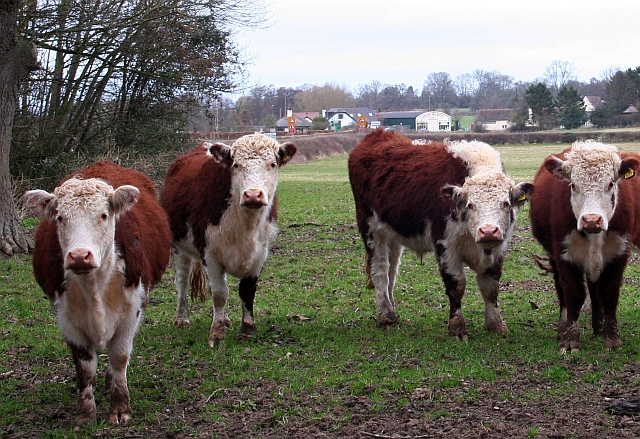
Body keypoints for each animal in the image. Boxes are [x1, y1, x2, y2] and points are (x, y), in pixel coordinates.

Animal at [24, 162, 171, 426]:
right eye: (60, 217)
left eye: (103, 215)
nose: (80, 256)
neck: (93, 287)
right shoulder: (66, 317)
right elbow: (85, 367)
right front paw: (85, 413)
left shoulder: (132, 309)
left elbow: (119, 357)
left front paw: (120, 407)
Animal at [162, 133, 298, 348]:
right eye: (236, 165)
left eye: (272, 164)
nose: (253, 195)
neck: (246, 225)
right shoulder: (209, 253)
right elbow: (219, 294)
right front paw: (217, 333)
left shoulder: (260, 252)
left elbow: (247, 290)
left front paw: (248, 328)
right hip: (178, 247)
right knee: (182, 280)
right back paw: (182, 318)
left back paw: (224, 318)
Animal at [348, 128, 532, 340]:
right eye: (470, 205)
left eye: (506, 203)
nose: (488, 231)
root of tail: (377, 135)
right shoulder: (445, 245)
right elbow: (456, 284)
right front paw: (457, 326)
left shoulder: (498, 249)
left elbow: (490, 286)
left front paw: (496, 324)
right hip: (370, 227)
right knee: (379, 269)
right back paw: (385, 315)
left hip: (392, 233)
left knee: (391, 270)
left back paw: (391, 310)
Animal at [528, 142, 640, 354]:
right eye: (573, 185)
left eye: (610, 184)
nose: (591, 220)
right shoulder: (564, 255)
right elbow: (573, 294)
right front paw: (570, 339)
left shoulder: (619, 252)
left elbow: (609, 293)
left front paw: (611, 337)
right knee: (563, 290)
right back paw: (563, 328)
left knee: (595, 288)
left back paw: (598, 326)